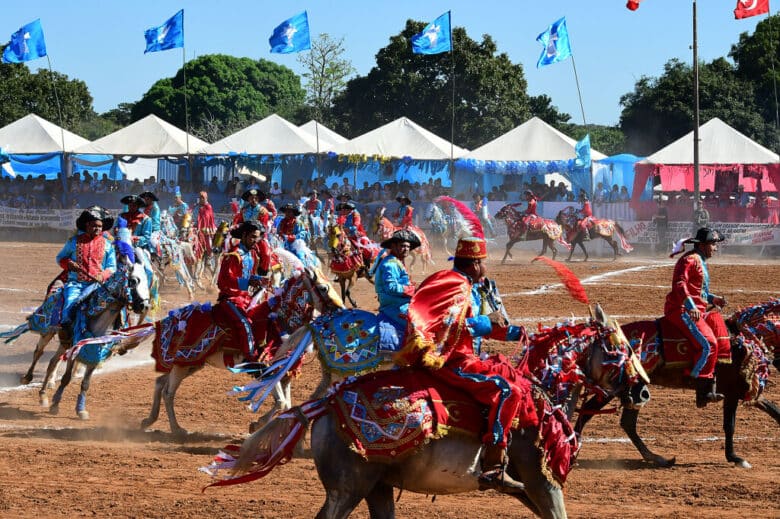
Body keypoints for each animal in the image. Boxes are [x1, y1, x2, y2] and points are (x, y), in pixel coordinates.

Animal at [572, 298, 780, 470]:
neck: (745, 338)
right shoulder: (732, 392)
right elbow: (730, 426)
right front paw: (736, 458)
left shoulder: (748, 393)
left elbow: (775, 411)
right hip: (615, 389)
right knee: (588, 413)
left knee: (626, 423)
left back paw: (657, 458)